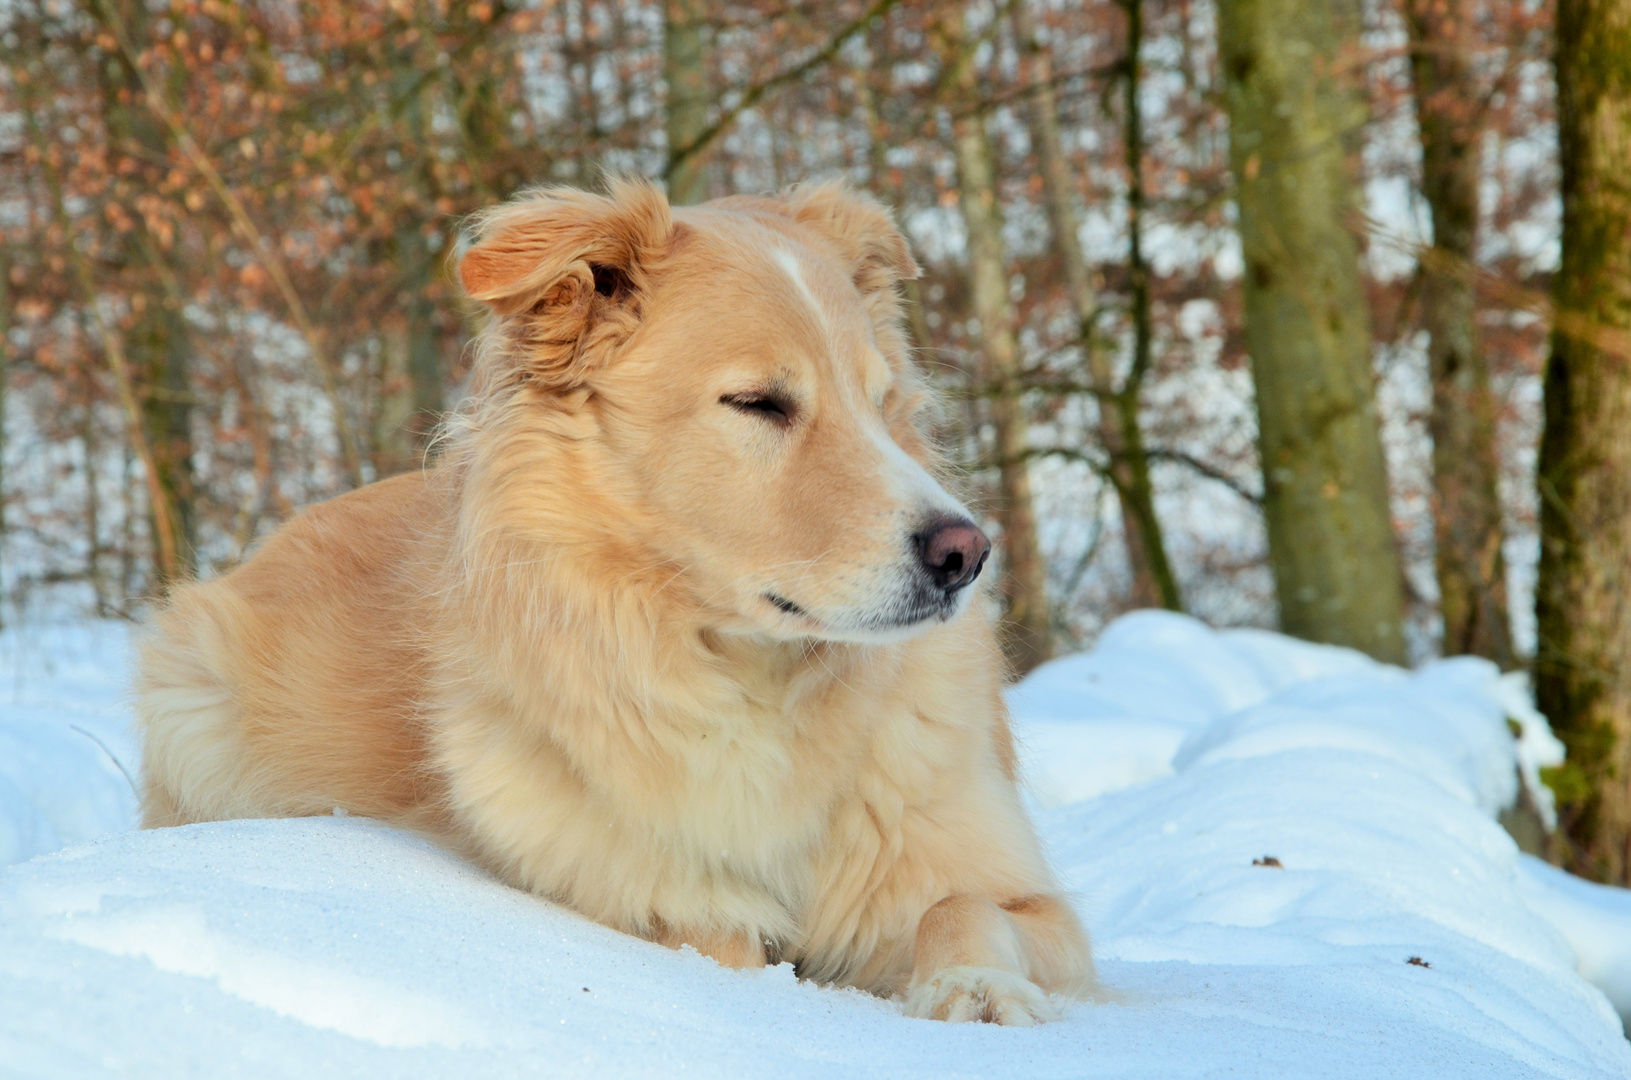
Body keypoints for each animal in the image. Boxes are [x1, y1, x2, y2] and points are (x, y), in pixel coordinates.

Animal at [137, 181, 1096, 1031]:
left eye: (882, 404)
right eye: (758, 403)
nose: (965, 555)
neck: (754, 687)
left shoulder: (1034, 906)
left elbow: (961, 906)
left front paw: (976, 987)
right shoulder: (658, 909)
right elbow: (720, 940)